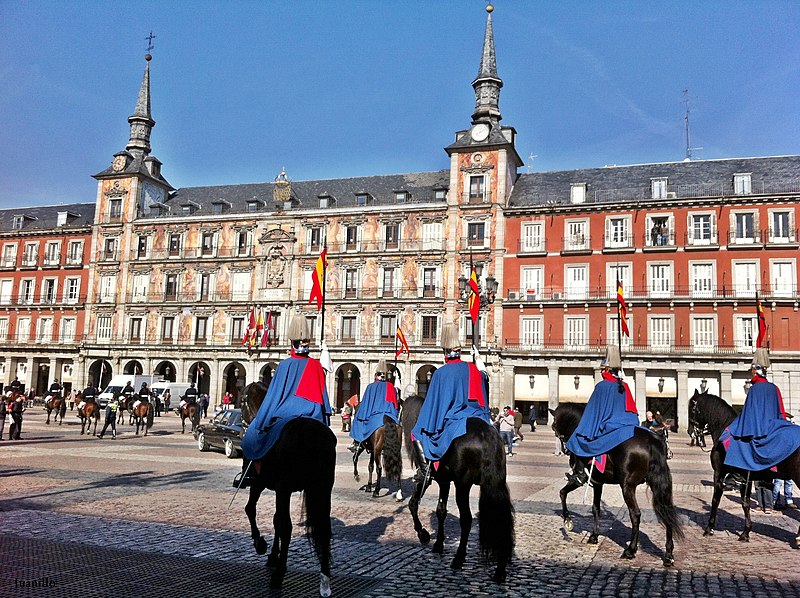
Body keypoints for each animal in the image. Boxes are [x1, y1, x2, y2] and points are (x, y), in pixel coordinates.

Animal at [239, 382, 336, 596]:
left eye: (241, 402)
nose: (242, 428)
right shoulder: (280, 489)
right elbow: (276, 520)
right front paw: (272, 555)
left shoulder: (261, 483)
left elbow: (251, 509)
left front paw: (261, 545)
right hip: (323, 488)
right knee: (324, 528)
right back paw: (325, 580)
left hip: (284, 486)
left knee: (287, 527)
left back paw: (278, 577)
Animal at [398, 396, 512, 584]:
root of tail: (485, 435)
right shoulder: (444, 482)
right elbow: (441, 511)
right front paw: (438, 544)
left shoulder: (430, 480)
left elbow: (413, 504)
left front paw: (423, 534)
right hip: (496, 483)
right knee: (501, 517)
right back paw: (500, 570)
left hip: (463, 486)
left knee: (466, 519)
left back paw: (458, 558)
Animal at [552, 404, 684, 568]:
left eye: (554, 425)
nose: (565, 449)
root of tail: (651, 440)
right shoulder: (598, 483)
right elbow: (595, 508)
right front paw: (594, 535)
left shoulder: (581, 478)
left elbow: (563, 493)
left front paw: (568, 520)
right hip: (658, 485)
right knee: (666, 512)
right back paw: (668, 555)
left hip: (627, 487)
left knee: (635, 514)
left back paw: (630, 550)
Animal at [688, 392, 800, 548]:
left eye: (691, 407)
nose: (690, 431)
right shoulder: (746, 479)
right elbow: (745, 503)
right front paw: (746, 532)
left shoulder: (719, 474)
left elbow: (716, 499)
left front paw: (709, 528)